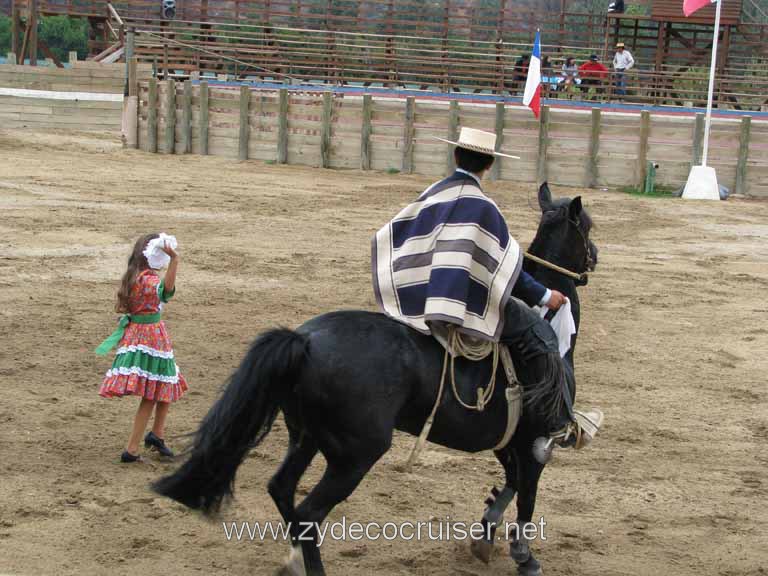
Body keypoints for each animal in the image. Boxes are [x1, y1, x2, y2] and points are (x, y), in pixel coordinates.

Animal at [153, 182, 596, 572]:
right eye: (587, 228)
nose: (593, 257)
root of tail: (305, 339)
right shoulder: (534, 445)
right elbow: (527, 499)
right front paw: (524, 556)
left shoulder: (507, 443)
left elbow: (510, 485)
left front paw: (485, 534)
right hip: (355, 454)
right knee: (309, 511)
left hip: (307, 437)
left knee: (282, 490)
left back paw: (294, 559)